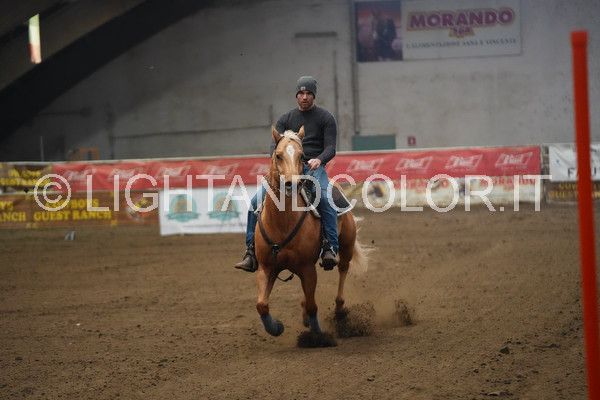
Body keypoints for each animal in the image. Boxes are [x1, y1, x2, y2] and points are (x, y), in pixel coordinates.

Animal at [254, 125, 369, 339]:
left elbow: (313, 305)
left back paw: (339, 310)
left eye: (302, 156)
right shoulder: (266, 267)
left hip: (346, 245)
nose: (292, 184)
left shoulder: (307, 267)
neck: (282, 222)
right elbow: (262, 305)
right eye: (278, 155)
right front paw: (276, 327)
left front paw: (317, 334)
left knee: (343, 269)